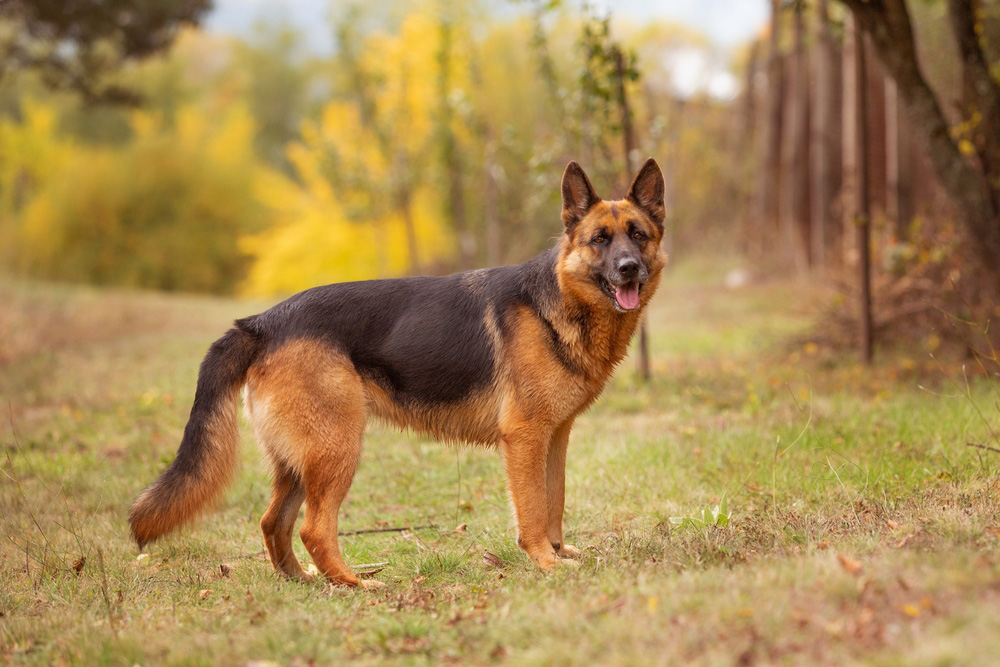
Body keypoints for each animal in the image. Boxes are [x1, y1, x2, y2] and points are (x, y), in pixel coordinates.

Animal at [131, 159, 664, 588]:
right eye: (599, 240)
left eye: (638, 235)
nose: (628, 268)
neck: (559, 300)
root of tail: (263, 322)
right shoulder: (526, 438)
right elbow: (533, 509)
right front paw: (545, 563)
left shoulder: (555, 438)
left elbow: (555, 501)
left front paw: (559, 552)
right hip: (337, 448)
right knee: (312, 528)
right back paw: (354, 584)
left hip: (300, 461)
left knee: (272, 522)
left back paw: (303, 581)